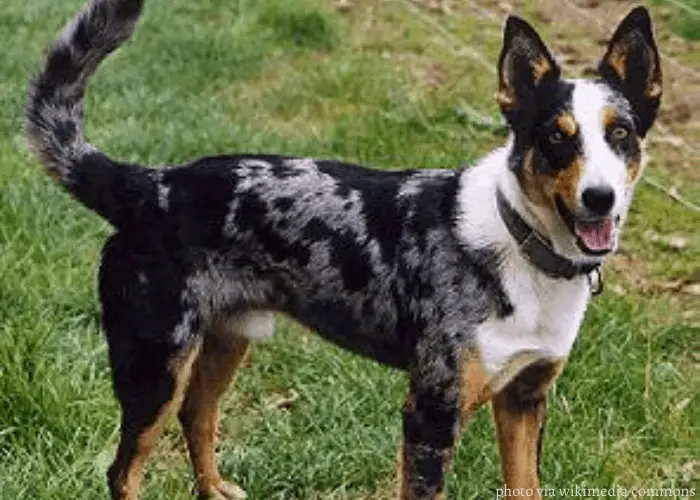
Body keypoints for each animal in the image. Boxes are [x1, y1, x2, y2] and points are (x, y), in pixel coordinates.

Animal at [26, 0, 660, 500]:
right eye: (555, 136)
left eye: (621, 134)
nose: (600, 199)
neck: (519, 247)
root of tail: (148, 184)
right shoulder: (432, 413)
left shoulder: (525, 400)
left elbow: (525, 486)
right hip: (154, 363)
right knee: (124, 470)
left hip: (227, 339)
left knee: (197, 415)